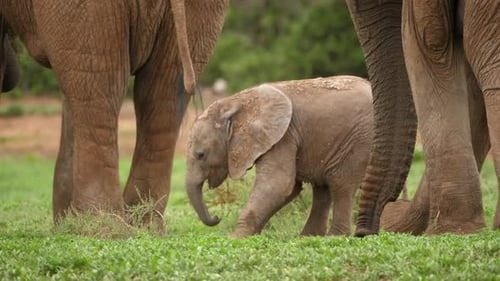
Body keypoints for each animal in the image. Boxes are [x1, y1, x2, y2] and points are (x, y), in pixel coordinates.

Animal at [0, 0, 229, 228]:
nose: (218, 218)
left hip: (81, 8)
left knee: (101, 86)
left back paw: (101, 226)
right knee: (161, 93)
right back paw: (139, 226)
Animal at [186, 75, 374, 236]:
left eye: (201, 155)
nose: (217, 218)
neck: (235, 102)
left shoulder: (284, 135)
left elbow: (278, 184)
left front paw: (235, 238)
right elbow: (290, 188)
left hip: (359, 139)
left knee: (340, 183)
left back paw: (334, 236)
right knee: (322, 188)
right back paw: (308, 237)